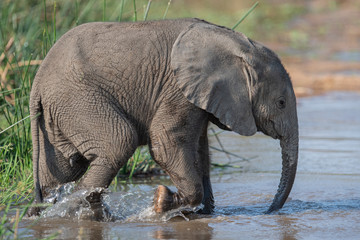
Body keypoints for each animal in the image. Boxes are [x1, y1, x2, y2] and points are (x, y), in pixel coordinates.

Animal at [28, 17, 298, 216]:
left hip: (60, 111)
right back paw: (83, 212)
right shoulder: (177, 88)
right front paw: (162, 202)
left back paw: (44, 214)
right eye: (281, 103)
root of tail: (37, 82)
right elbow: (167, 144)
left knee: (61, 169)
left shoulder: (199, 95)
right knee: (118, 142)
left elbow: (200, 151)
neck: (239, 45)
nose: (269, 211)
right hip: (79, 98)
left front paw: (201, 214)